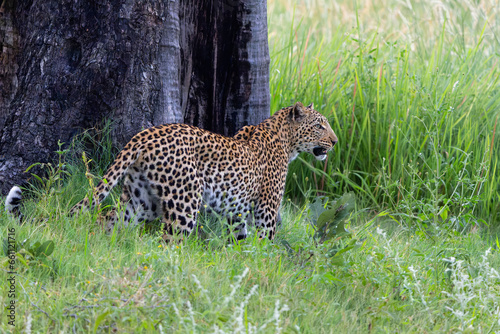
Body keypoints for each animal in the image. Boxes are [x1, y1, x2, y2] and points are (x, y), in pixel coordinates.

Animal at [5, 102, 336, 240]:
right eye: (320, 125)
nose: (334, 141)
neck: (287, 140)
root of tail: (143, 135)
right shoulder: (265, 209)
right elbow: (266, 242)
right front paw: (264, 266)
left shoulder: (236, 212)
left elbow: (240, 242)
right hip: (184, 202)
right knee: (169, 242)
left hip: (140, 200)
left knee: (108, 219)